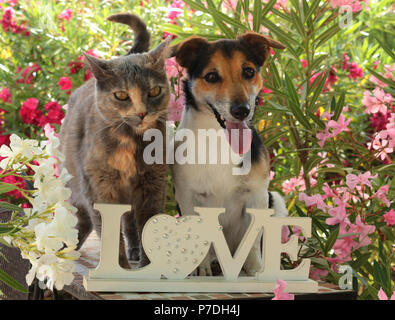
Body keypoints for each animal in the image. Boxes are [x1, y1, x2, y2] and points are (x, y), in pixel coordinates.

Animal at [59, 12, 171, 268]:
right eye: (121, 95)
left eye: (154, 91)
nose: (142, 112)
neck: (130, 141)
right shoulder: (98, 187)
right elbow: (107, 231)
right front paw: (117, 266)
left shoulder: (153, 183)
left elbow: (148, 224)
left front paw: (148, 267)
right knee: (84, 217)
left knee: (128, 220)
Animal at [172, 31, 290, 276]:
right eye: (211, 76)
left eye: (248, 72)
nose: (241, 110)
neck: (220, 140)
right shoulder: (187, 196)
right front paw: (200, 268)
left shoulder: (257, 195)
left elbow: (252, 240)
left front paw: (255, 269)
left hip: (275, 200)